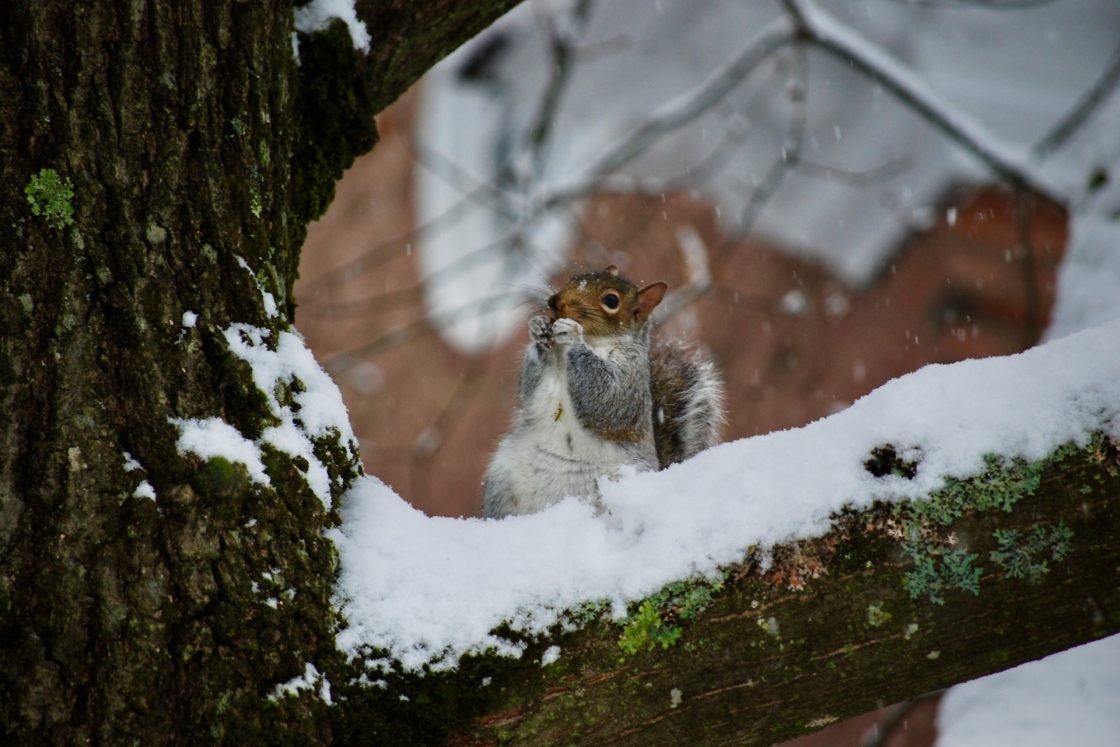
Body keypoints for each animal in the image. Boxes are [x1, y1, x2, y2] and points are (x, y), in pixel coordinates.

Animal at [481, 267, 725, 519]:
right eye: (574, 279)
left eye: (611, 300)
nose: (554, 301)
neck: (593, 341)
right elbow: (529, 391)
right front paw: (538, 328)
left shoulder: (630, 377)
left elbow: (607, 401)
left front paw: (572, 334)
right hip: (504, 480)